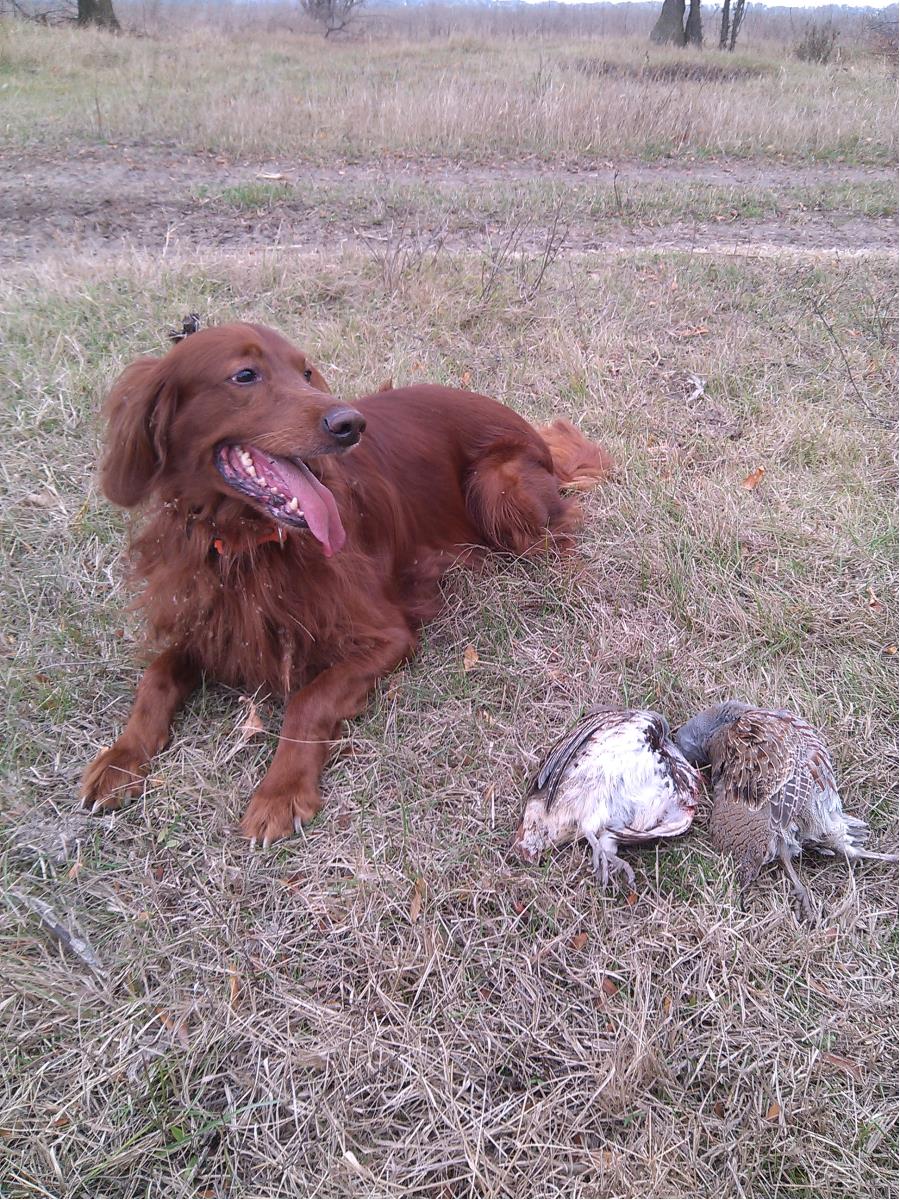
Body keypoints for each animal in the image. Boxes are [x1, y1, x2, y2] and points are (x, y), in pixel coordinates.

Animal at [81, 322, 611, 846]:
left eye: (306, 372)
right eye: (245, 375)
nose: (349, 425)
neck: (248, 545)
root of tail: (528, 429)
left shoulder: (388, 636)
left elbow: (308, 699)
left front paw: (280, 792)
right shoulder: (210, 624)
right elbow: (157, 675)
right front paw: (119, 760)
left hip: (498, 487)